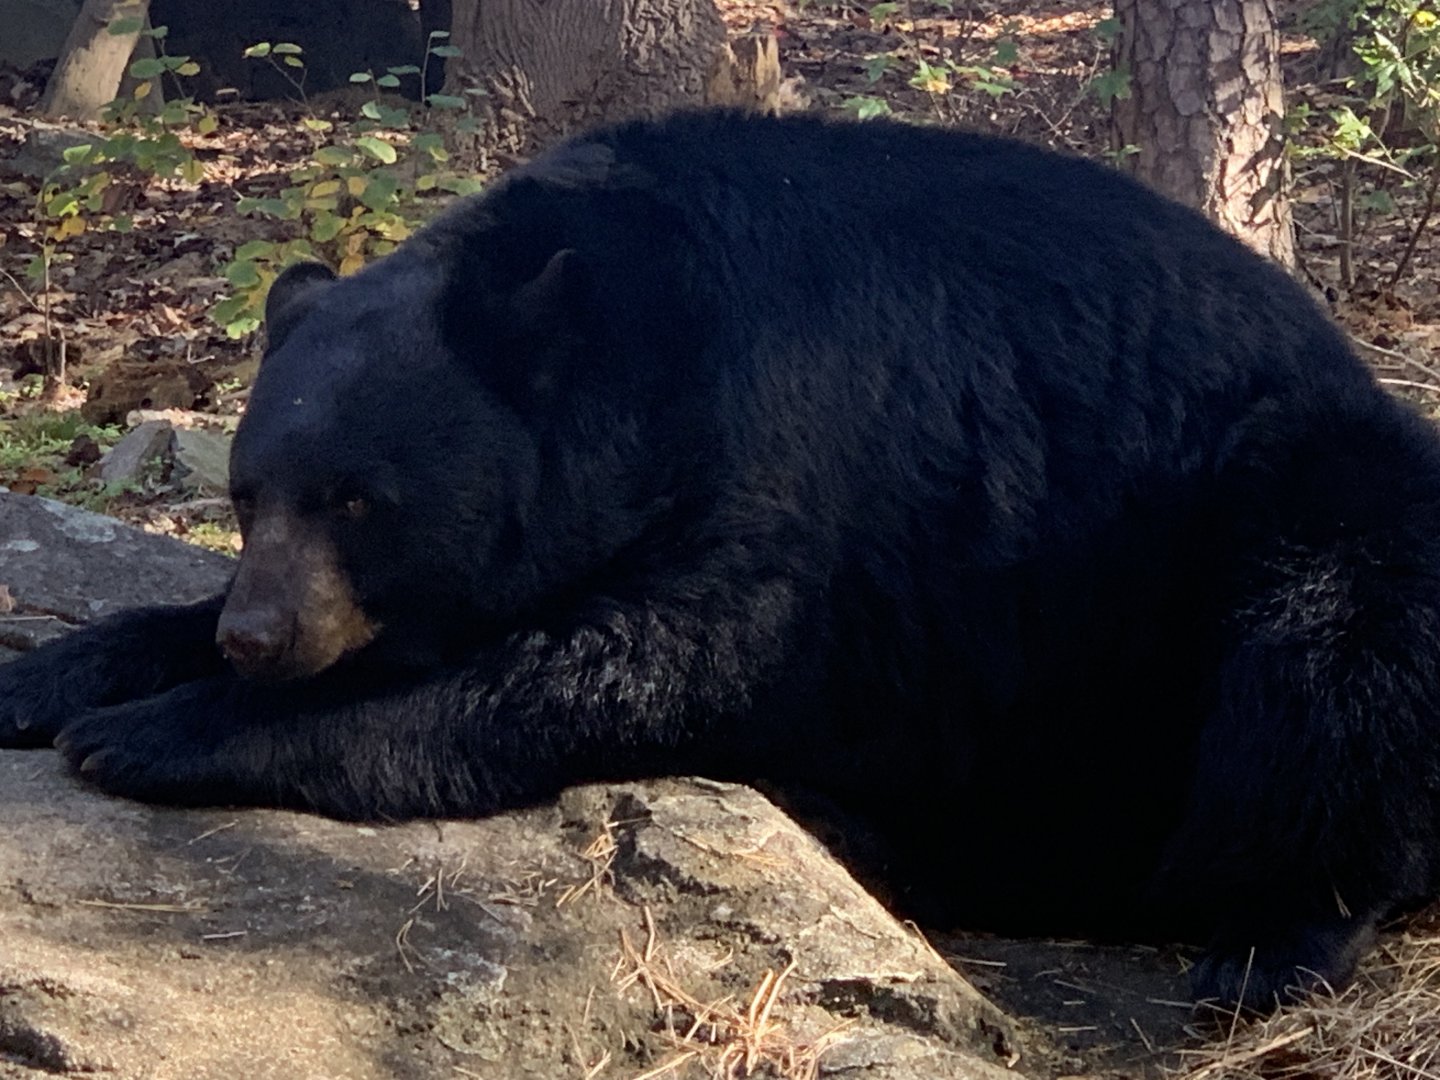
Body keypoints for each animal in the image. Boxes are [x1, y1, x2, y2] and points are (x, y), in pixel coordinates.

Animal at [3, 110, 1440, 1010]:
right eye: (249, 494)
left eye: (360, 499)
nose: (257, 638)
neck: (641, 327)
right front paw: (60, 673)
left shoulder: (800, 451)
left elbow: (649, 656)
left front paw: (154, 729)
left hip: (1297, 506)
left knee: (1331, 658)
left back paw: (1271, 940)